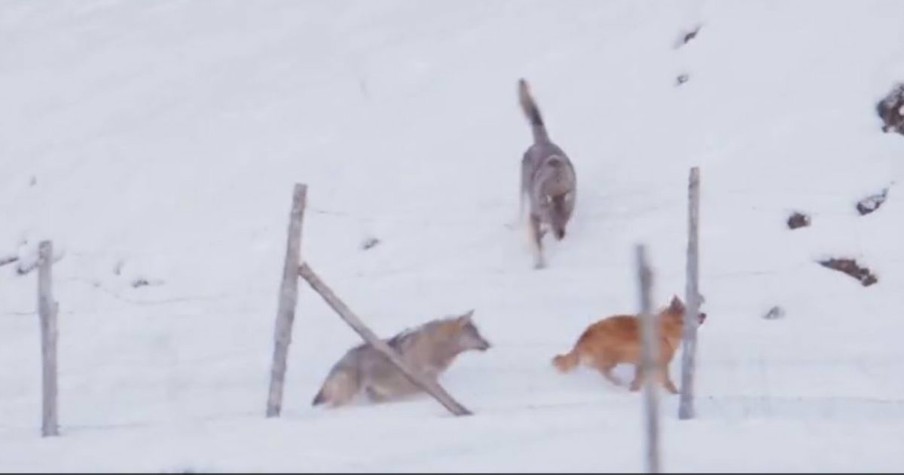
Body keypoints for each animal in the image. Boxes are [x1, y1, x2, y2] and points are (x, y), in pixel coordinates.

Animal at [312, 308, 494, 410]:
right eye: (475, 334)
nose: (489, 344)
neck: (434, 348)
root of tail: (336, 365)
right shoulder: (421, 379)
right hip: (348, 397)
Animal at [516, 80, 580, 270]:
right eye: (554, 220)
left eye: (566, 218)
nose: (561, 236)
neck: (556, 183)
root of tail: (543, 141)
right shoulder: (534, 215)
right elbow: (537, 244)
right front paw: (539, 263)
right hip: (522, 189)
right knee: (520, 212)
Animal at [552, 298, 708, 394]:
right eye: (693, 312)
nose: (704, 314)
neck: (666, 328)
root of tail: (584, 336)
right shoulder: (658, 364)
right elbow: (666, 382)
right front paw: (675, 394)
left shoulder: (643, 364)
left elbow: (639, 380)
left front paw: (633, 390)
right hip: (612, 357)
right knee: (601, 369)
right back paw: (617, 381)